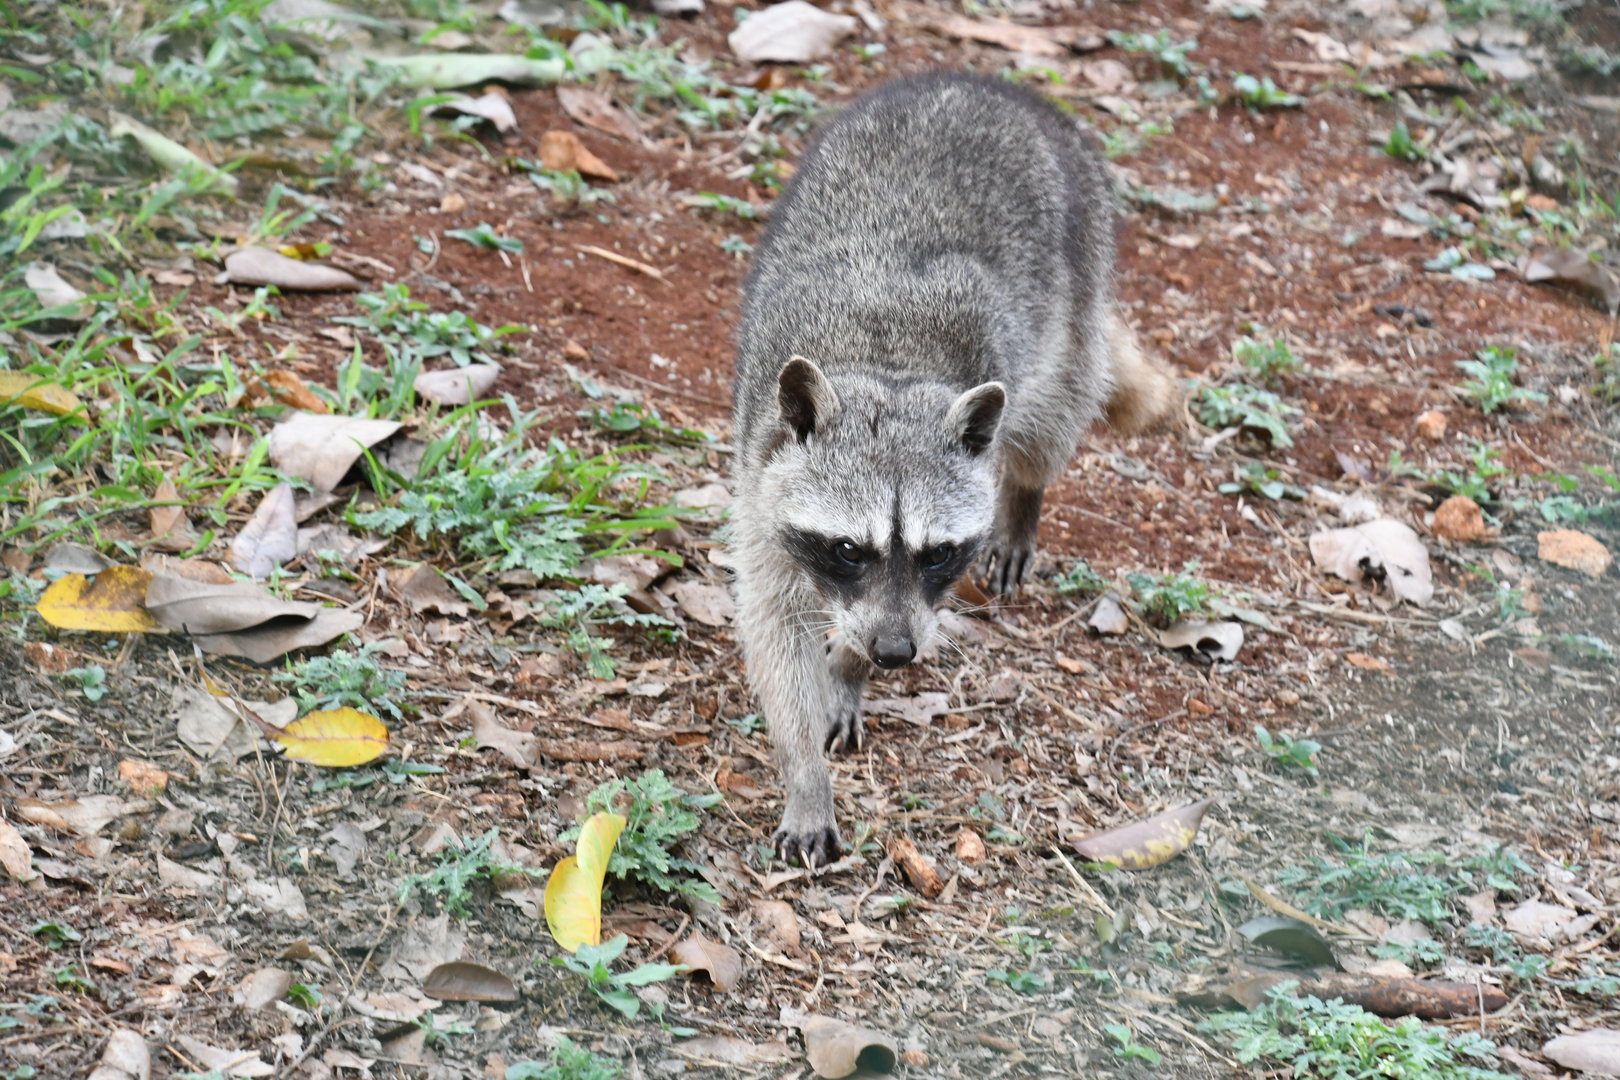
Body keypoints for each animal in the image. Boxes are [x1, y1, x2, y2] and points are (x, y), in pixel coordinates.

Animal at [729, 72, 1175, 867]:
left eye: (938, 553)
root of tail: (989, 83)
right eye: (849, 548)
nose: (894, 653)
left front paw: (851, 669)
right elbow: (773, 629)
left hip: (1076, 273)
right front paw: (805, 772)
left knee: (1051, 418)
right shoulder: (760, 475)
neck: (887, 369)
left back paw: (1025, 496)